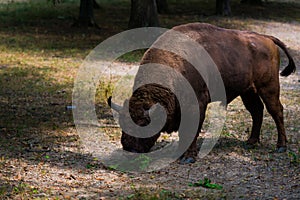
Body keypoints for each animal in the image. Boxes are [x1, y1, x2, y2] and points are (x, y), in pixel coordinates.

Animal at [108, 22, 296, 163]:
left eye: (143, 123)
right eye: (122, 122)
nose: (129, 148)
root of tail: (266, 38)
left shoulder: (197, 104)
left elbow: (191, 129)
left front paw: (188, 157)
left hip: (268, 87)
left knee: (276, 111)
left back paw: (281, 146)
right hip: (248, 91)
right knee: (257, 111)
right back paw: (251, 142)